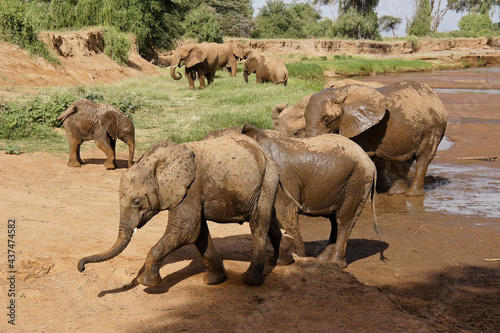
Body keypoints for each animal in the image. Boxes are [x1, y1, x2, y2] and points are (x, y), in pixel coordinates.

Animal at [75, 134, 292, 286]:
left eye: (136, 202)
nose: (81, 268)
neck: (155, 163)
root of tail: (266, 155)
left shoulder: (191, 187)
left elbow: (185, 230)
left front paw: (147, 283)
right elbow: (198, 233)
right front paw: (214, 281)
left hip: (265, 182)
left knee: (258, 225)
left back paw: (250, 280)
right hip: (265, 184)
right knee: (270, 222)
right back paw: (283, 262)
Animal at [242, 124, 378, 268]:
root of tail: (370, 162)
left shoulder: (281, 179)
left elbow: (284, 214)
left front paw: (298, 258)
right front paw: (280, 261)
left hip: (357, 183)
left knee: (344, 220)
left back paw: (335, 263)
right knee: (335, 221)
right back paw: (323, 260)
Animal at [274, 79, 450, 196]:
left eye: (327, 119)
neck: (340, 93)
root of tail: (435, 96)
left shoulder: (363, 129)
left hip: (433, 127)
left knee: (423, 157)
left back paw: (412, 195)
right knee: (404, 160)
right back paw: (395, 193)